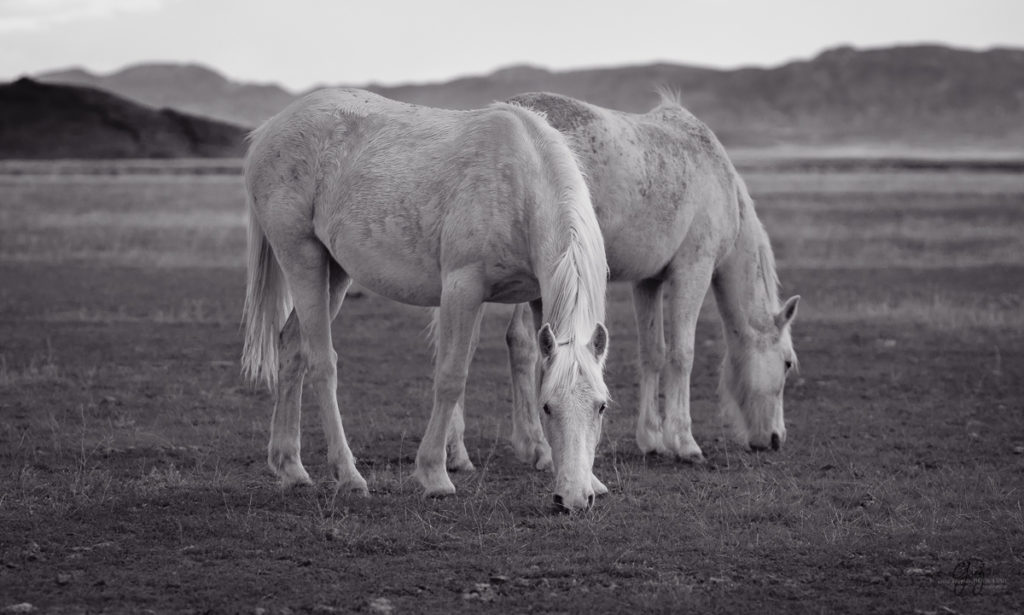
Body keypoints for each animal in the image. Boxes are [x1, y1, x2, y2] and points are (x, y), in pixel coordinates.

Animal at [238, 86, 606, 507]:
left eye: (601, 407)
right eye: (547, 407)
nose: (574, 500)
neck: (522, 184)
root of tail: (269, 130)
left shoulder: (538, 298)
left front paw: (588, 479)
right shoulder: (463, 289)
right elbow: (450, 377)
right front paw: (434, 474)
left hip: (334, 273)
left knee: (291, 349)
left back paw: (291, 468)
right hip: (303, 260)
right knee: (321, 363)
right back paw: (348, 476)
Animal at [448, 90, 798, 464]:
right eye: (787, 363)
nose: (776, 438)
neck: (720, 181)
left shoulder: (648, 281)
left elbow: (653, 352)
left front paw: (652, 439)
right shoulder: (693, 270)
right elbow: (682, 354)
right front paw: (684, 442)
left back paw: (461, 451)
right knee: (519, 343)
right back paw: (534, 446)